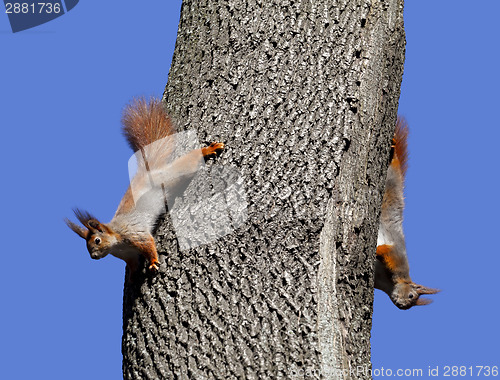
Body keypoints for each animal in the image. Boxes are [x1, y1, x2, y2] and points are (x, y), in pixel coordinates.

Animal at [65, 98, 225, 274]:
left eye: (97, 240)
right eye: (86, 246)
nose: (93, 257)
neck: (117, 243)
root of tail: (148, 171)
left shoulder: (135, 234)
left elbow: (148, 244)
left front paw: (153, 261)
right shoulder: (128, 255)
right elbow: (133, 263)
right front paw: (133, 274)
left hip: (172, 176)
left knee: (189, 162)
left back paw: (207, 150)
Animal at [374, 117, 440, 310]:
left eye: (412, 302)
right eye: (411, 295)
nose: (402, 306)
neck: (387, 283)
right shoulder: (398, 257)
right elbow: (386, 250)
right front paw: (377, 250)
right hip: (392, 177)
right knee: (394, 160)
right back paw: (393, 146)